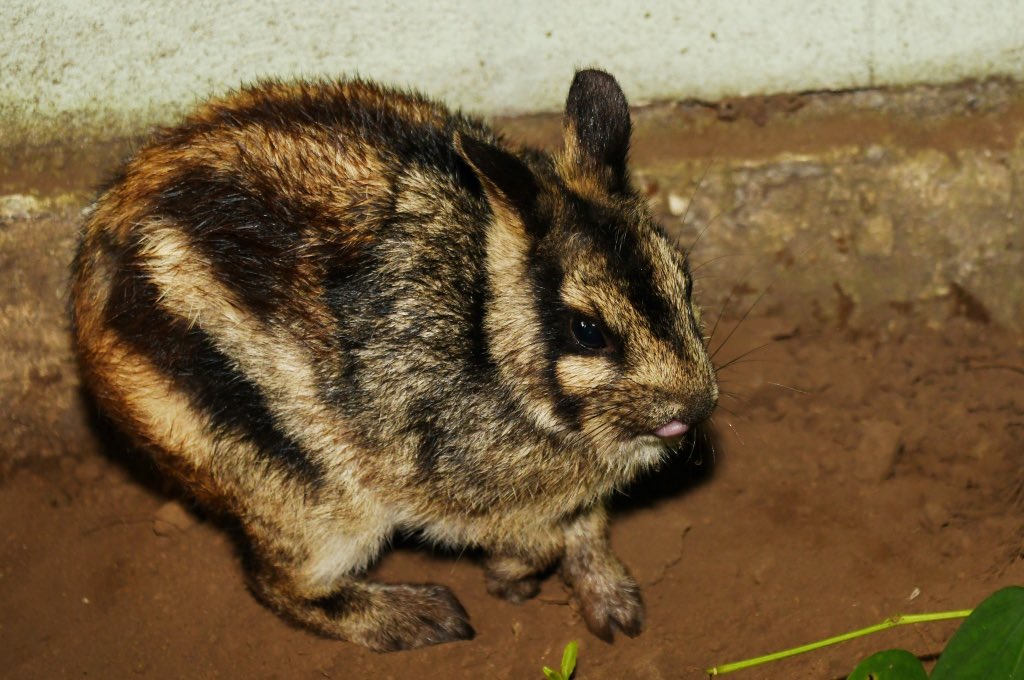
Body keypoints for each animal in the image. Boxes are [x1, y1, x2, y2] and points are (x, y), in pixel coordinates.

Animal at [70, 69, 719, 651]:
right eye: (587, 331)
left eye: (684, 282)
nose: (696, 407)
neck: (487, 332)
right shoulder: (443, 491)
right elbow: (543, 542)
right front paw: (507, 581)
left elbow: (586, 525)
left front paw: (613, 602)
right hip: (310, 495)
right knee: (277, 583)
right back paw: (421, 617)